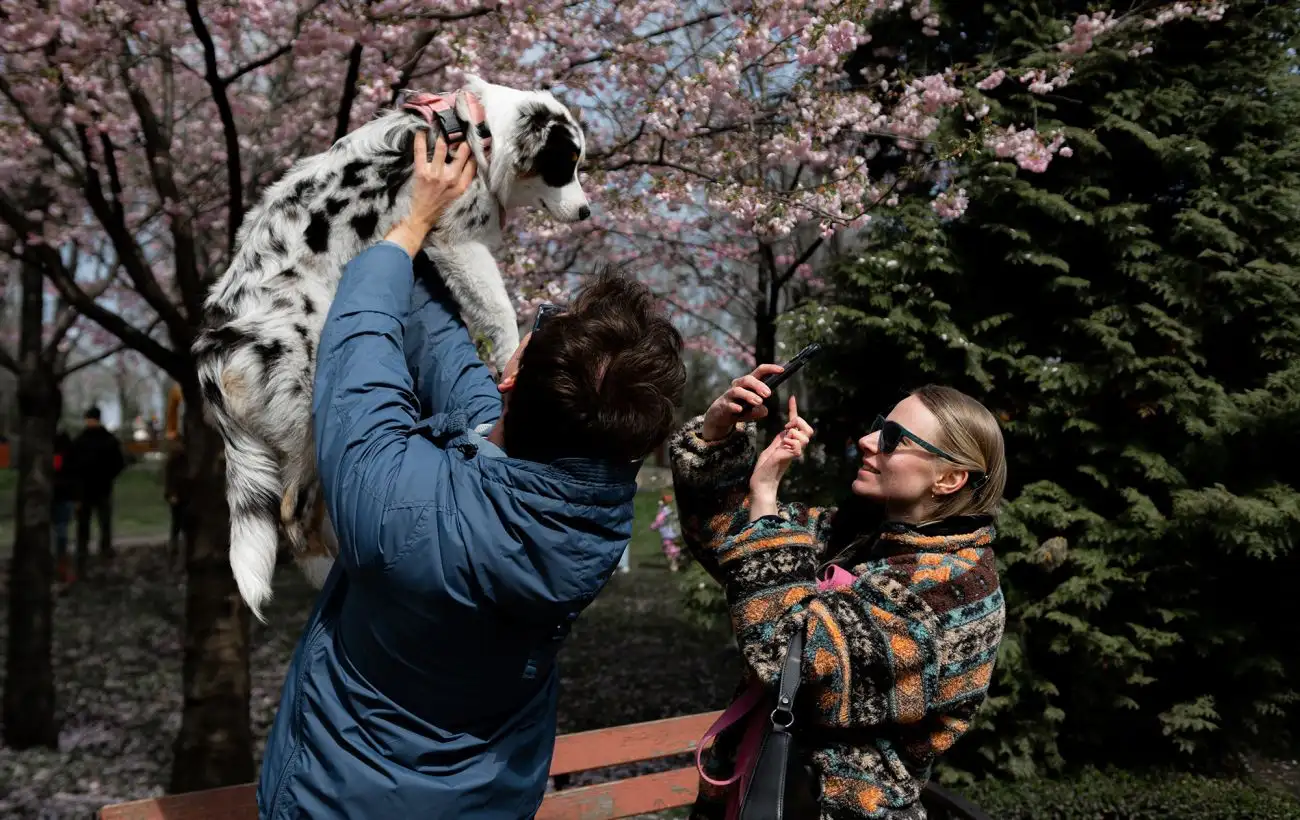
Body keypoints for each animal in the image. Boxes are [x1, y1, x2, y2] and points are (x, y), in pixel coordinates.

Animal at [191, 75, 590, 621]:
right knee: (294, 513)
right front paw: (515, 352)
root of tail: (211, 350)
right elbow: (499, 306)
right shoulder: (456, 239)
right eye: (563, 165)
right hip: (309, 404)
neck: (481, 130)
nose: (587, 211)